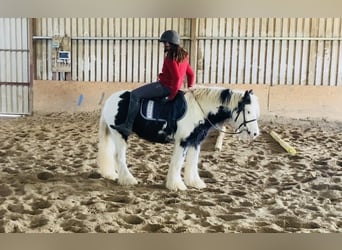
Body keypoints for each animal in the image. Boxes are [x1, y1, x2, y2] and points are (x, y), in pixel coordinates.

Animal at [96, 85, 260, 190]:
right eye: (248, 111)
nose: (255, 133)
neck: (199, 109)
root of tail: (110, 100)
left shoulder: (195, 141)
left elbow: (192, 162)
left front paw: (194, 182)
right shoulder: (183, 141)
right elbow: (178, 162)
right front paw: (176, 185)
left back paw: (113, 175)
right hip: (120, 134)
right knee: (119, 157)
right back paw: (129, 180)